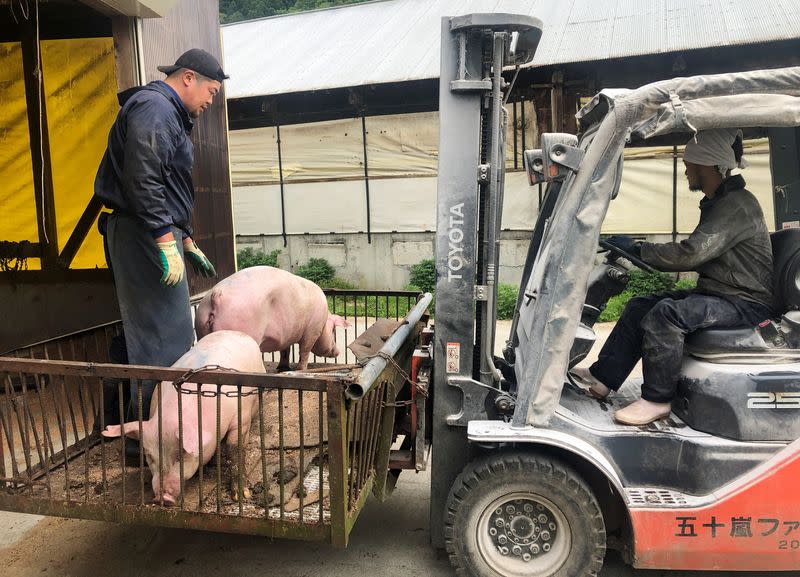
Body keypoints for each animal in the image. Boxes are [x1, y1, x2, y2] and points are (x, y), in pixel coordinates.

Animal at [101, 328, 264, 504]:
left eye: (180, 456)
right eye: (150, 457)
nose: (162, 498)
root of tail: (233, 331)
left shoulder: (241, 416)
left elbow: (234, 449)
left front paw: (241, 496)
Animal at [195, 266, 350, 368]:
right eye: (333, 330)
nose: (338, 351)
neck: (324, 320)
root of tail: (216, 294)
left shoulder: (287, 334)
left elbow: (285, 351)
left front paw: (282, 369)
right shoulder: (312, 331)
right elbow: (304, 351)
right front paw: (301, 370)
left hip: (201, 326)